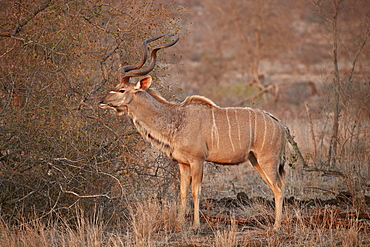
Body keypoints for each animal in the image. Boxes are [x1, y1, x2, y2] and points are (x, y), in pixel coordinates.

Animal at [100, 36, 290, 230]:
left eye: (122, 90)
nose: (102, 101)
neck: (176, 119)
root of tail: (280, 125)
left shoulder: (197, 160)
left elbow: (195, 191)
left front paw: (195, 225)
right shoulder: (183, 164)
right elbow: (183, 191)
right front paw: (179, 223)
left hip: (267, 160)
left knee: (278, 189)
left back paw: (276, 226)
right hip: (255, 161)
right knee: (278, 186)